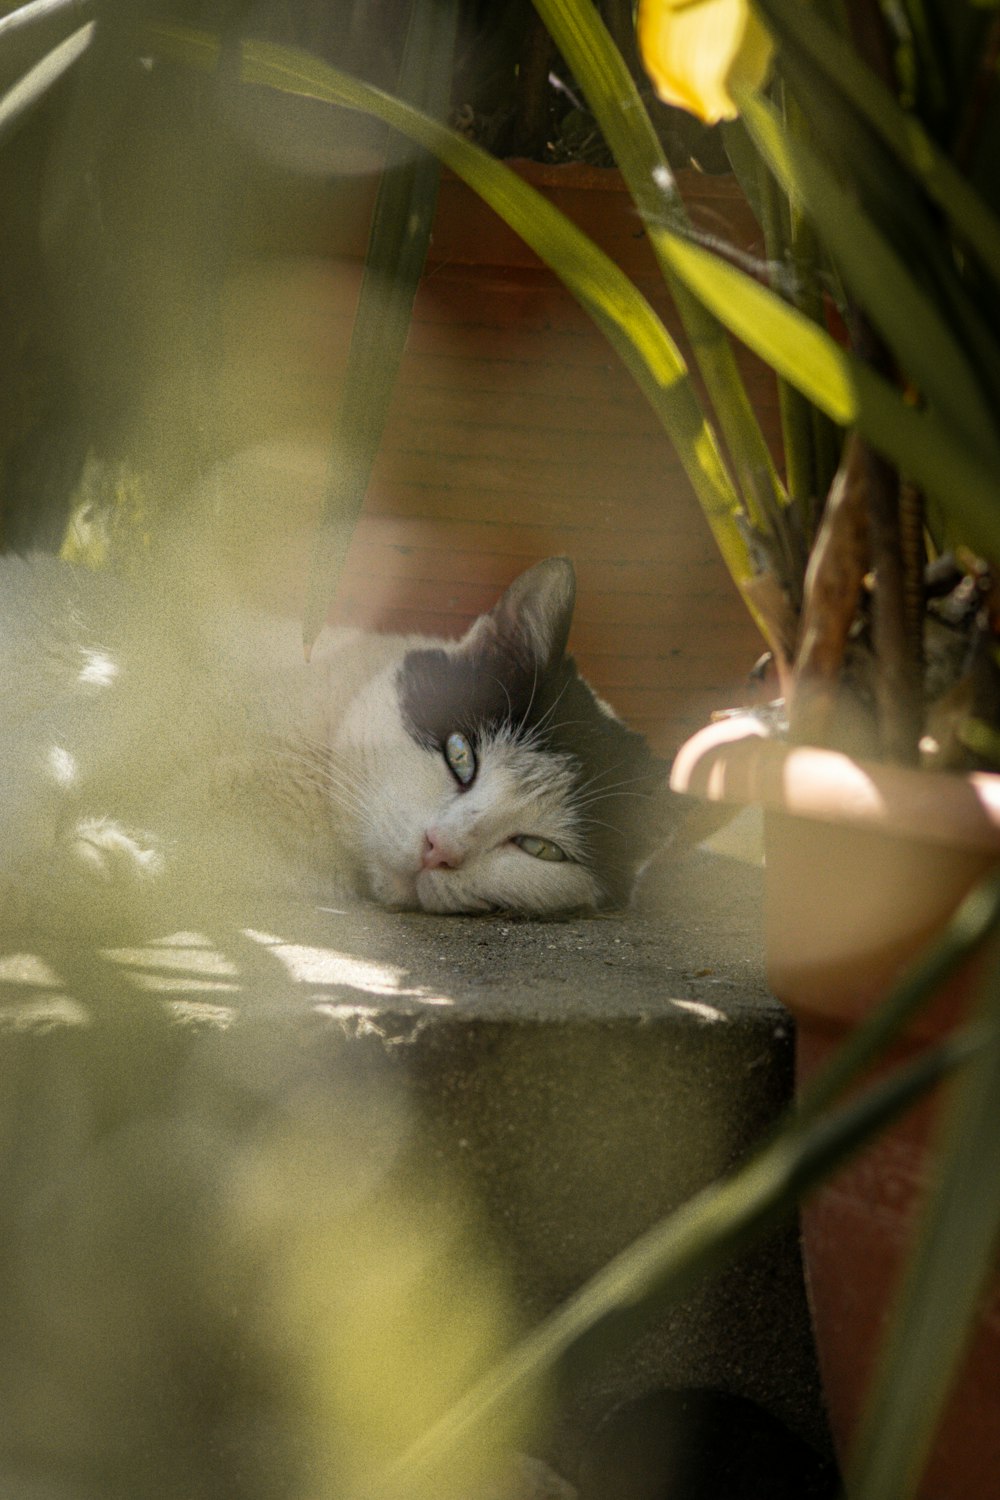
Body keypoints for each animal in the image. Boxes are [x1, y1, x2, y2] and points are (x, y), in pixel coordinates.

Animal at [1, 552, 671, 924]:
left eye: (541, 850)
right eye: (460, 756)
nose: (439, 849)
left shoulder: (228, 851)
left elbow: (164, 870)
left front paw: (92, 866)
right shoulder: (139, 675)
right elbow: (54, 761)